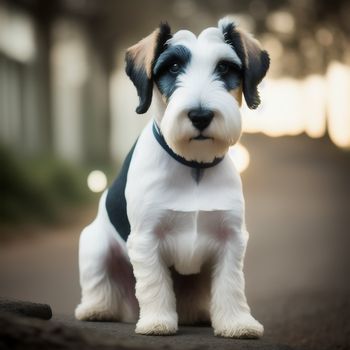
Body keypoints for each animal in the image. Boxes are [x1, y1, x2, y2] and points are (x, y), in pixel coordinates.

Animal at [75, 17, 270, 338]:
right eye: (173, 67)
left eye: (224, 68)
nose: (200, 115)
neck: (194, 166)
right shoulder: (146, 238)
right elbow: (155, 284)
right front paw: (157, 321)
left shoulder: (231, 238)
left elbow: (231, 285)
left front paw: (237, 323)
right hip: (94, 245)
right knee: (99, 283)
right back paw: (97, 308)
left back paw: (197, 313)